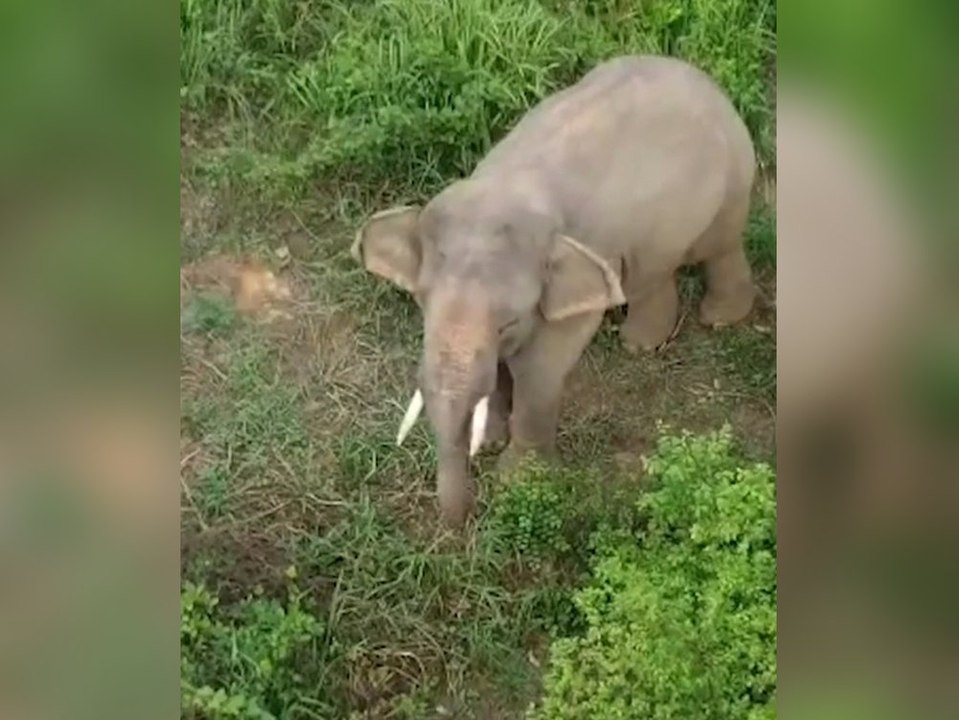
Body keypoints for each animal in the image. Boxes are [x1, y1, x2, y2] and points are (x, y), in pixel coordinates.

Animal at [352, 55, 757, 527]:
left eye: (509, 322)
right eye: (421, 303)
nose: (461, 523)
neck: (509, 186)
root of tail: (702, 76)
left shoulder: (584, 262)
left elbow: (540, 368)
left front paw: (518, 480)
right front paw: (491, 442)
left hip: (732, 184)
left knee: (719, 247)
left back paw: (718, 319)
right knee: (651, 272)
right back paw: (641, 346)